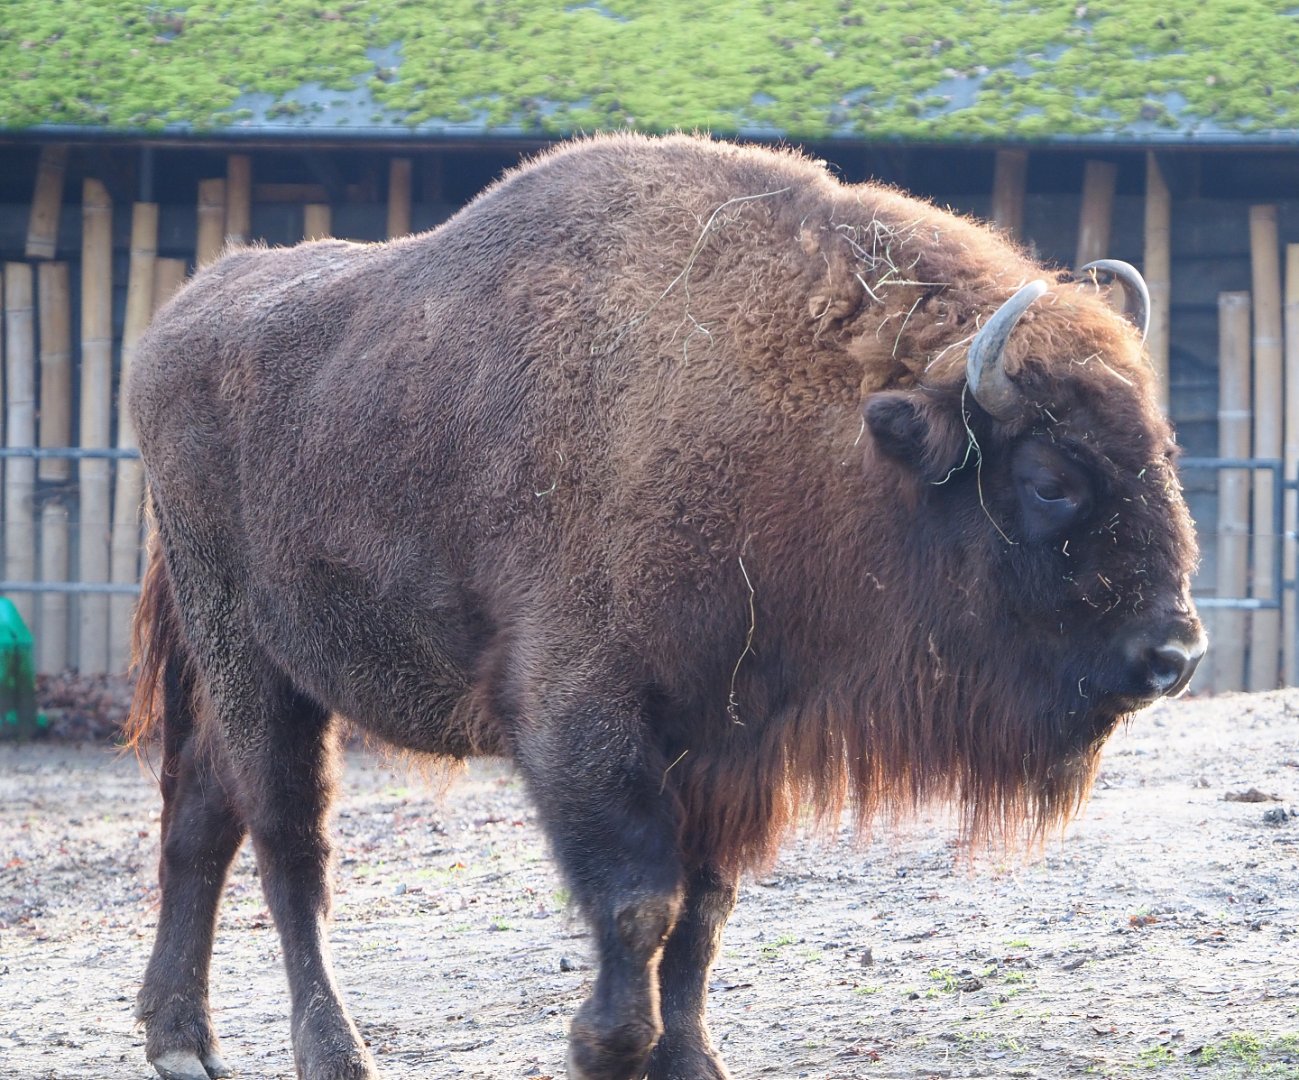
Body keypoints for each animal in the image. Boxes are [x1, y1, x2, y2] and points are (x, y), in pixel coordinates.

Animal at [127, 133, 1205, 1080]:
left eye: (1162, 448)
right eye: (1051, 479)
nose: (1174, 655)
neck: (820, 425)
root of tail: (176, 324)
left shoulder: (730, 745)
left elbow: (702, 915)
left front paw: (688, 1059)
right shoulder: (583, 722)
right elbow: (639, 903)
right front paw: (603, 1048)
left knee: (203, 813)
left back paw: (180, 1039)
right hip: (254, 658)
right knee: (287, 844)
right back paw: (332, 1054)